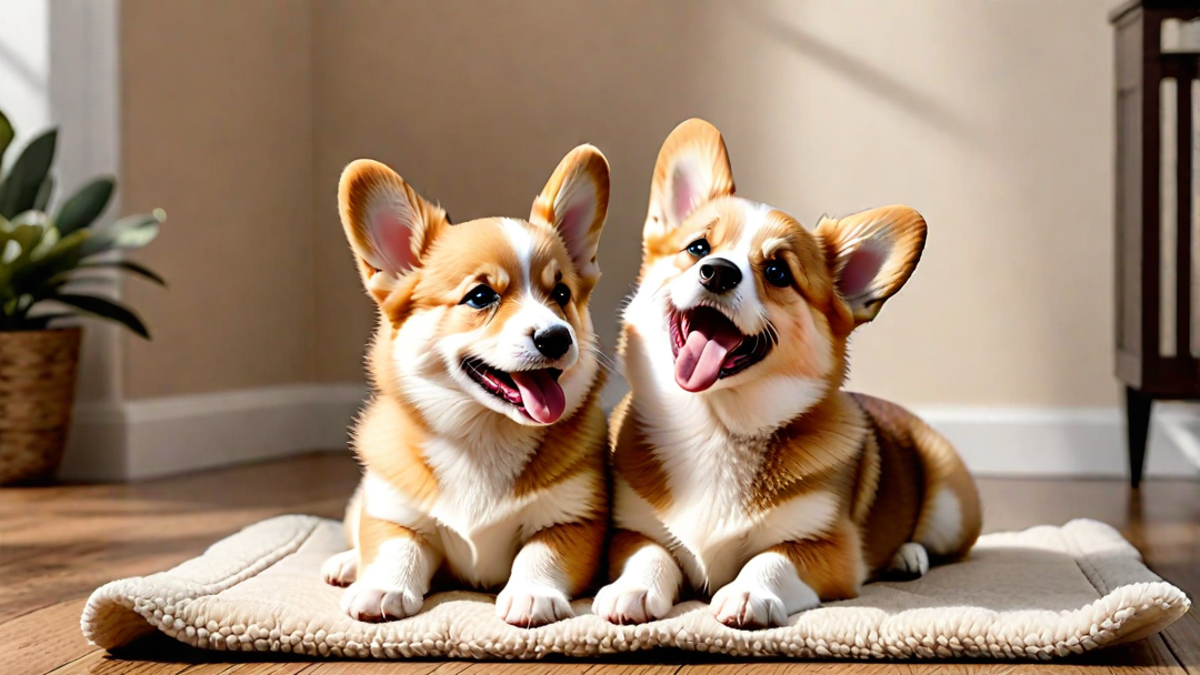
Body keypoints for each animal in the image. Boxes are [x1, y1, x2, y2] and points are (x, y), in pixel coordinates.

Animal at [321, 142, 614, 624]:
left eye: (562, 295)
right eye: (481, 296)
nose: (558, 337)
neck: (483, 435)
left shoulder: (573, 518)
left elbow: (541, 553)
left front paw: (531, 594)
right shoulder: (395, 511)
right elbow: (394, 545)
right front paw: (381, 588)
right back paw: (345, 564)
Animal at [595, 119, 979, 624]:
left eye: (777, 271)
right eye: (698, 248)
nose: (717, 272)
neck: (715, 426)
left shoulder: (827, 546)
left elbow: (771, 559)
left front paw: (746, 594)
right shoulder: (631, 530)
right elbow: (650, 554)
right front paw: (632, 590)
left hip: (950, 508)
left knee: (935, 543)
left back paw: (906, 555)